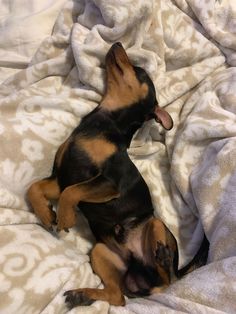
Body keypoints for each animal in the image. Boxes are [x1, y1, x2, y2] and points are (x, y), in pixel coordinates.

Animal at [27, 42, 208, 310]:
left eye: (140, 71)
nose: (117, 43)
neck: (103, 122)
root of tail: (137, 270)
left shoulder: (108, 182)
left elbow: (72, 192)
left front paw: (66, 217)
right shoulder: (60, 179)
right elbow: (34, 188)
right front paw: (45, 213)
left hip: (155, 225)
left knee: (166, 282)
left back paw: (164, 258)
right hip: (100, 252)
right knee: (118, 297)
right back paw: (84, 294)